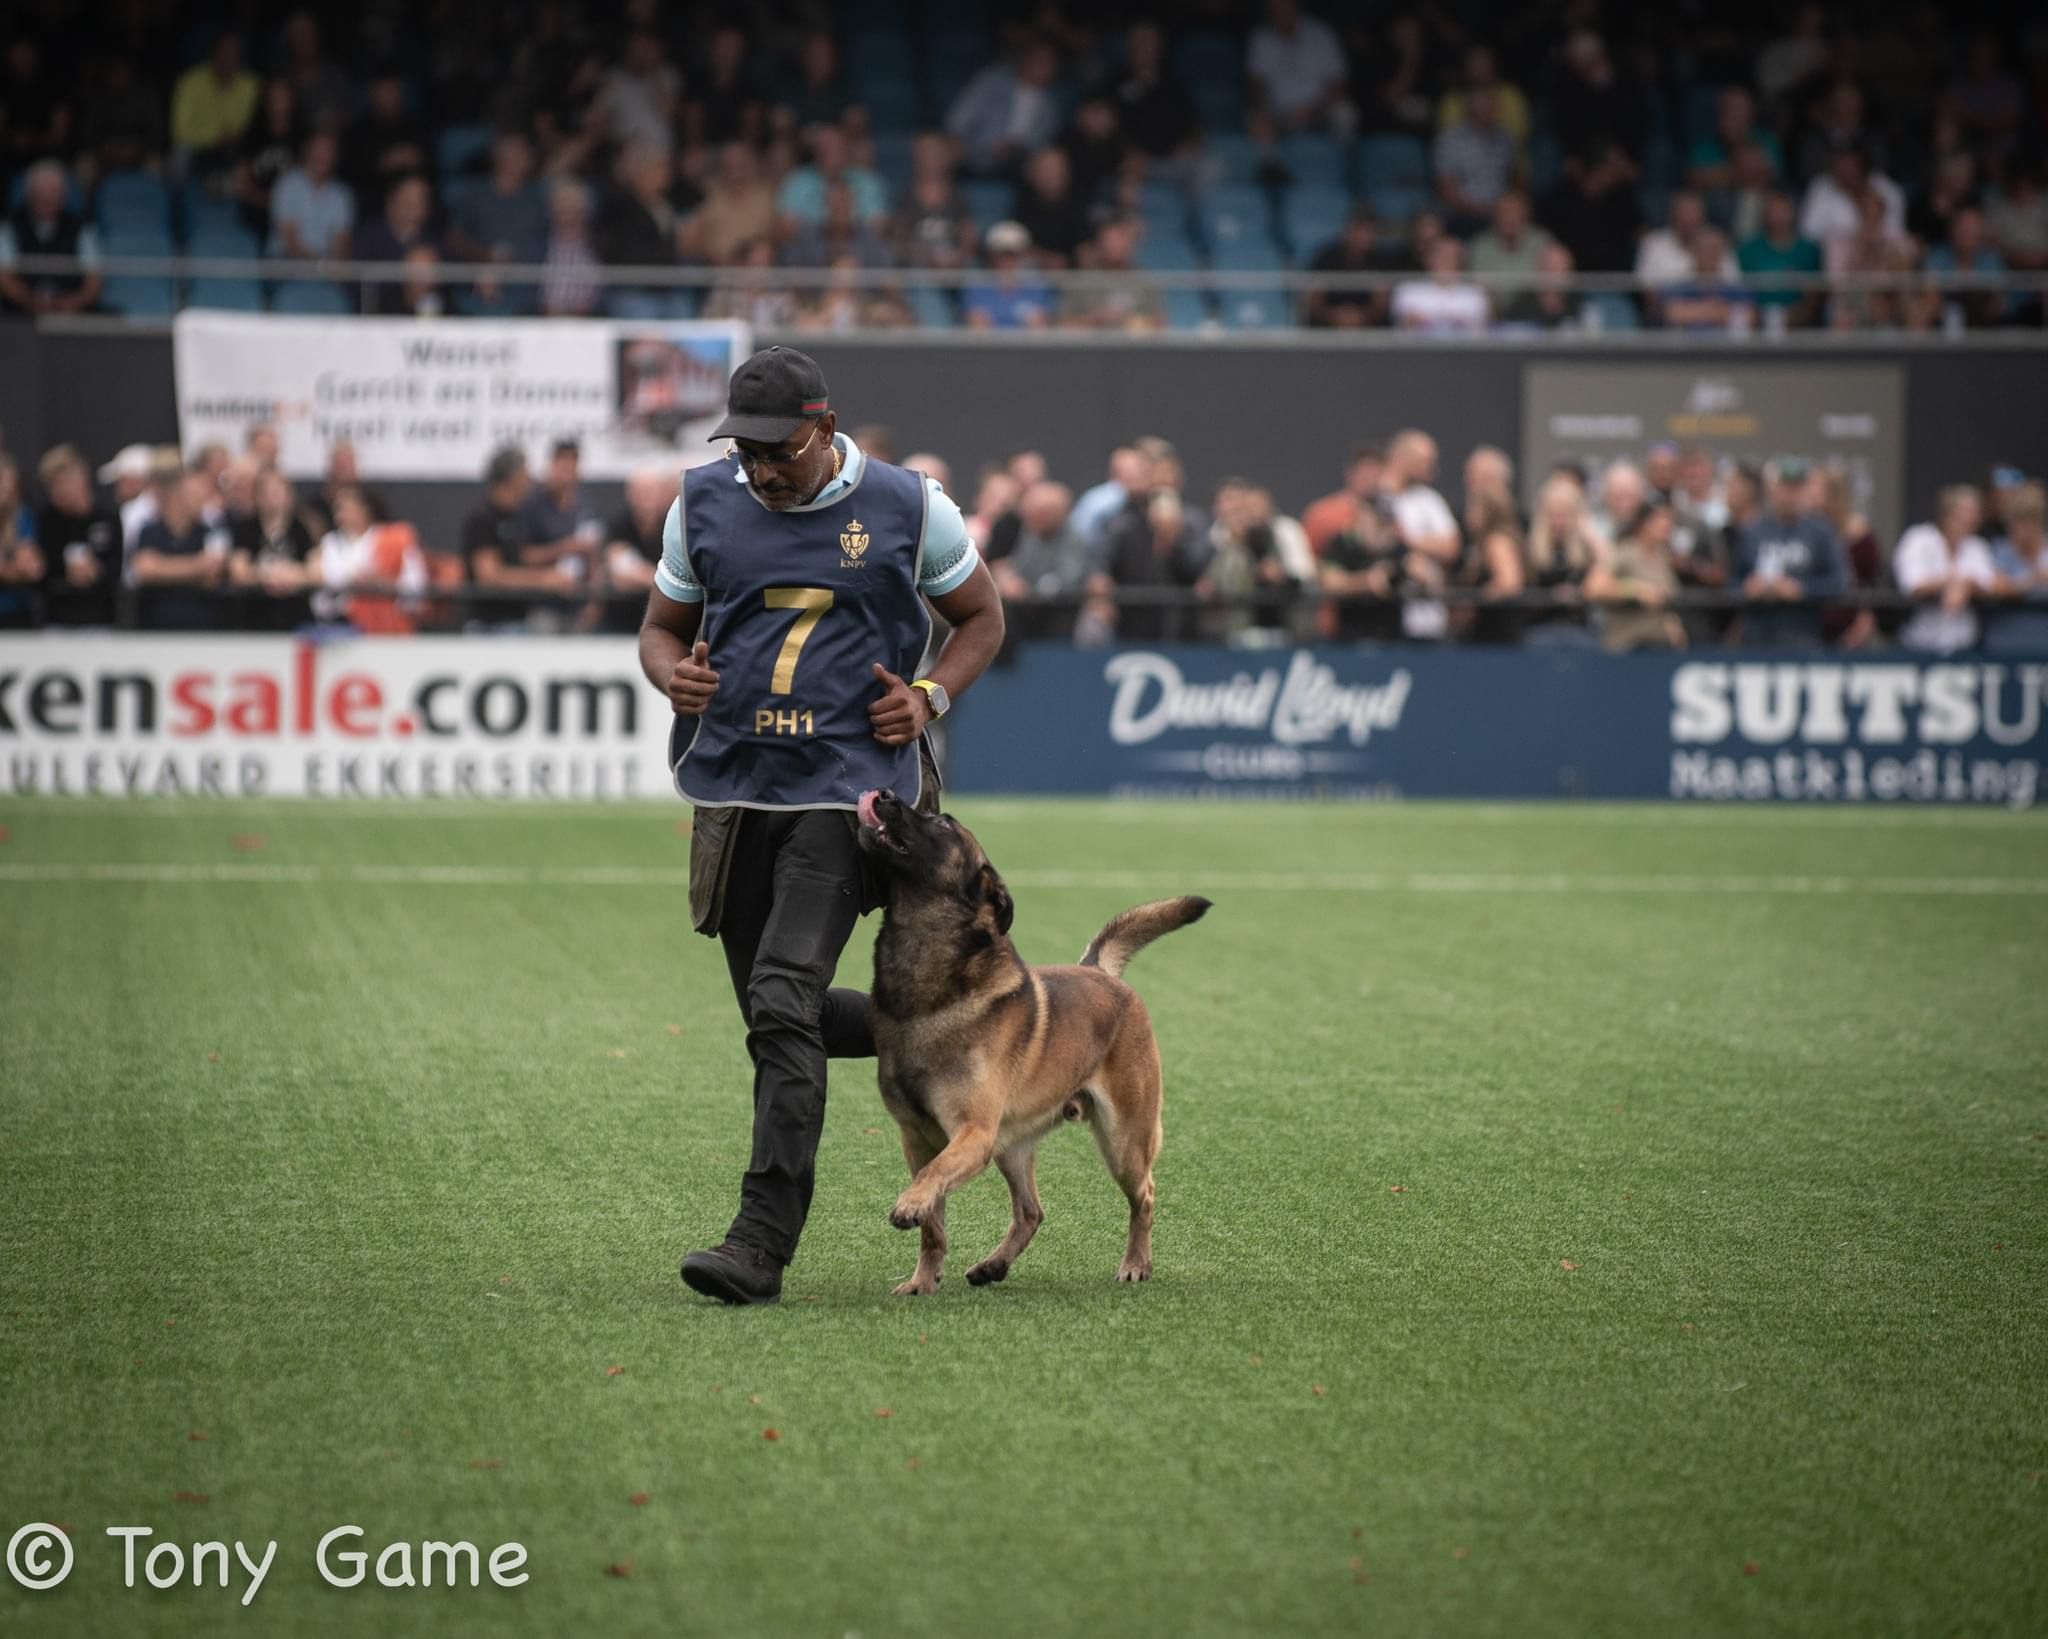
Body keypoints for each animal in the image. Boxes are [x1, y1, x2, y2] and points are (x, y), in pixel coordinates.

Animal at [854, 787, 1209, 1294]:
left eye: (943, 824)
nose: (882, 794)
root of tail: (1100, 971)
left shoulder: (972, 1134)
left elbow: (934, 1177)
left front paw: (909, 1205)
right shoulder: (917, 1138)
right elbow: (933, 1225)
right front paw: (923, 1279)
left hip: (1123, 1140)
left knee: (1145, 1196)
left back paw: (1136, 1263)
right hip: (1013, 1147)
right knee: (1031, 1212)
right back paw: (993, 1265)